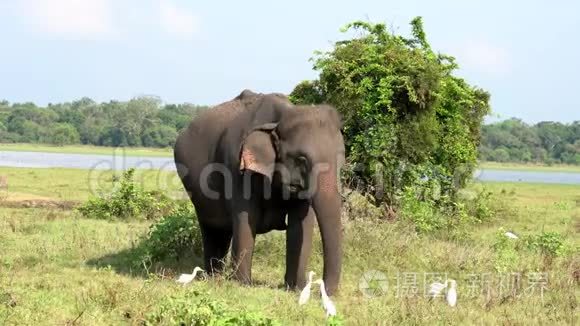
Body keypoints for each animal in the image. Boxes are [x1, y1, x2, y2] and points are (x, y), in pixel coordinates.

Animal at [172, 89, 344, 296]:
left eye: (341, 158)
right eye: (301, 159)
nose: (322, 290)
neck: (281, 117)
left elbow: (301, 223)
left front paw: (295, 288)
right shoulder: (235, 167)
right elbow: (247, 217)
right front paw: (242, 284)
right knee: (211, 228)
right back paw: (213, 277)